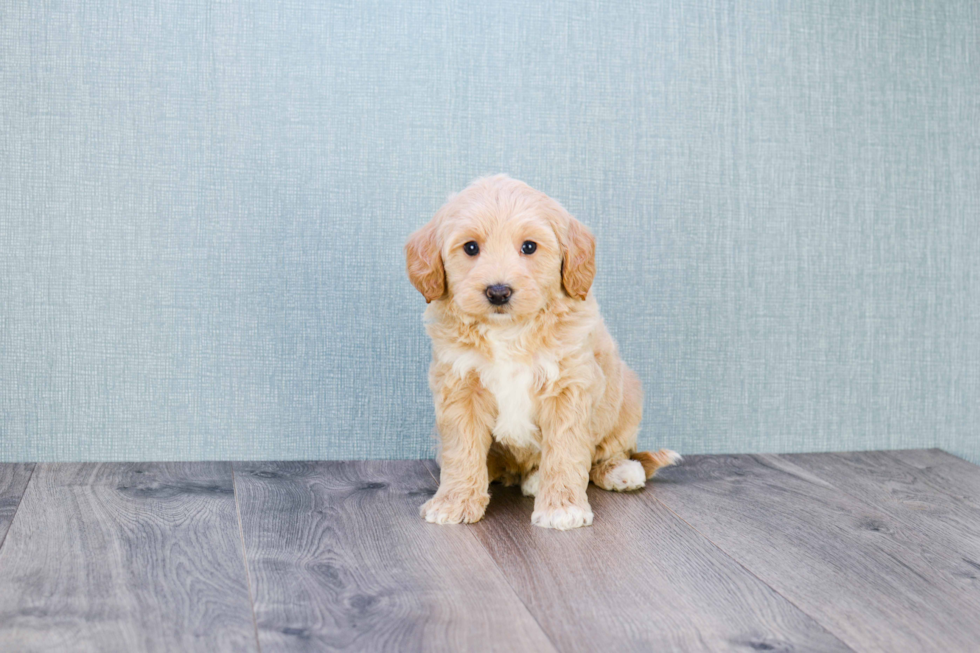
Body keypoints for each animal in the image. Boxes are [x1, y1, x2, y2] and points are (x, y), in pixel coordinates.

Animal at [402, 174, 676, 528]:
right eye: (471, 248)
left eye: (529, 247)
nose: (498, 291)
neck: (509, 331)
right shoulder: (460, 386)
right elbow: (462, 450)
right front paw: (455, 502)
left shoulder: (569, 386)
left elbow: (565, 450)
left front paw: (562, 507)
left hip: (626, 393)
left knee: (610, 448)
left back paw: (618, 470)